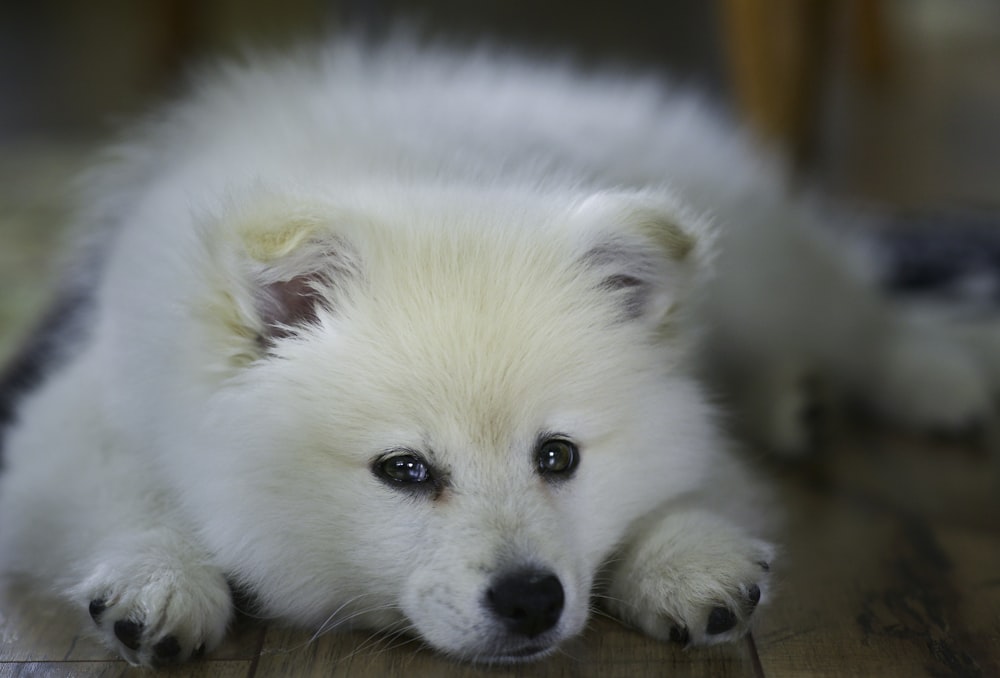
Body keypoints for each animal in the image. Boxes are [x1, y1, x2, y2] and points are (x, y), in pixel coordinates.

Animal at [0, 38, 992, 668]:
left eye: (558, 457)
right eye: (404, 470)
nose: (530, 599)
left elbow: (697, 481)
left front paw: (686, 559)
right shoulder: (71, 426)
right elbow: (125, 495)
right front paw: (158, 583)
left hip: (760, 269)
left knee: (858, 311)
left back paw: (944, 377)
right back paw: (798, 400)